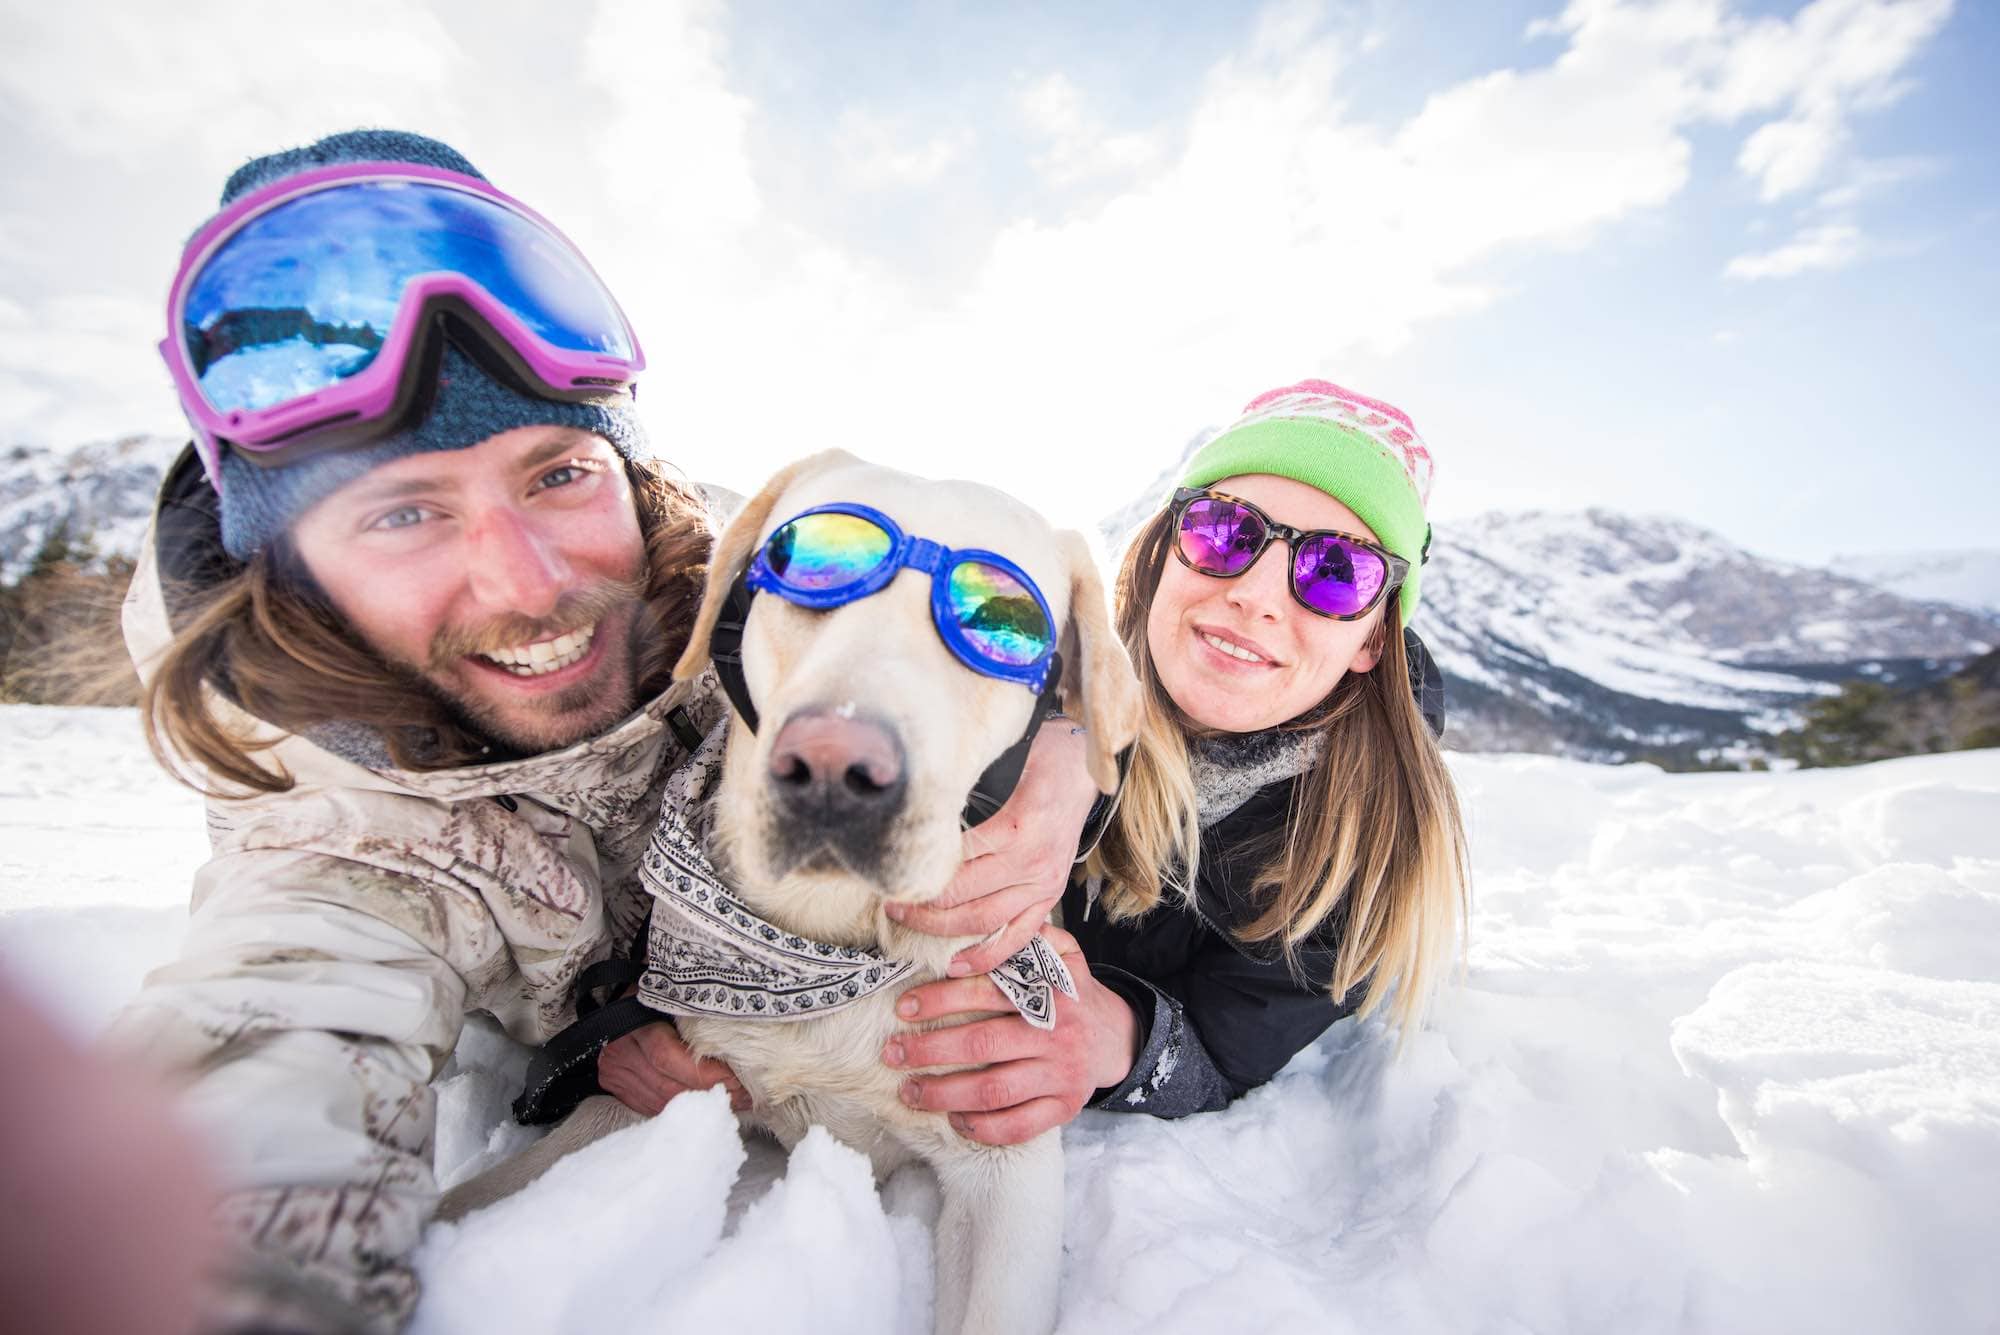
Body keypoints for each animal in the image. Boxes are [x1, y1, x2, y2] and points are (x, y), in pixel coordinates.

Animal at [446, 451, 1152, 1335]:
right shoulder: (649, 1084)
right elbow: (488, 1192)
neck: (830, 945)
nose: (834, 770)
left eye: (1003, 624)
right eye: (806, 568)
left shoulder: (1004, 1158)